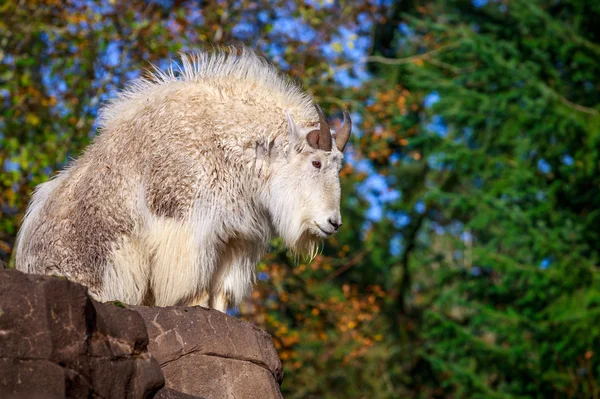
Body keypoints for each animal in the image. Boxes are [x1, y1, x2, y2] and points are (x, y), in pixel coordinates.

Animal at [16, 47, 352, 312]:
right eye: (316, 161)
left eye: (338, 166)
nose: (333, 223)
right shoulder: (188, 229)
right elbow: (195, 289)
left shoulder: (236, 238)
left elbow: (221, 293)